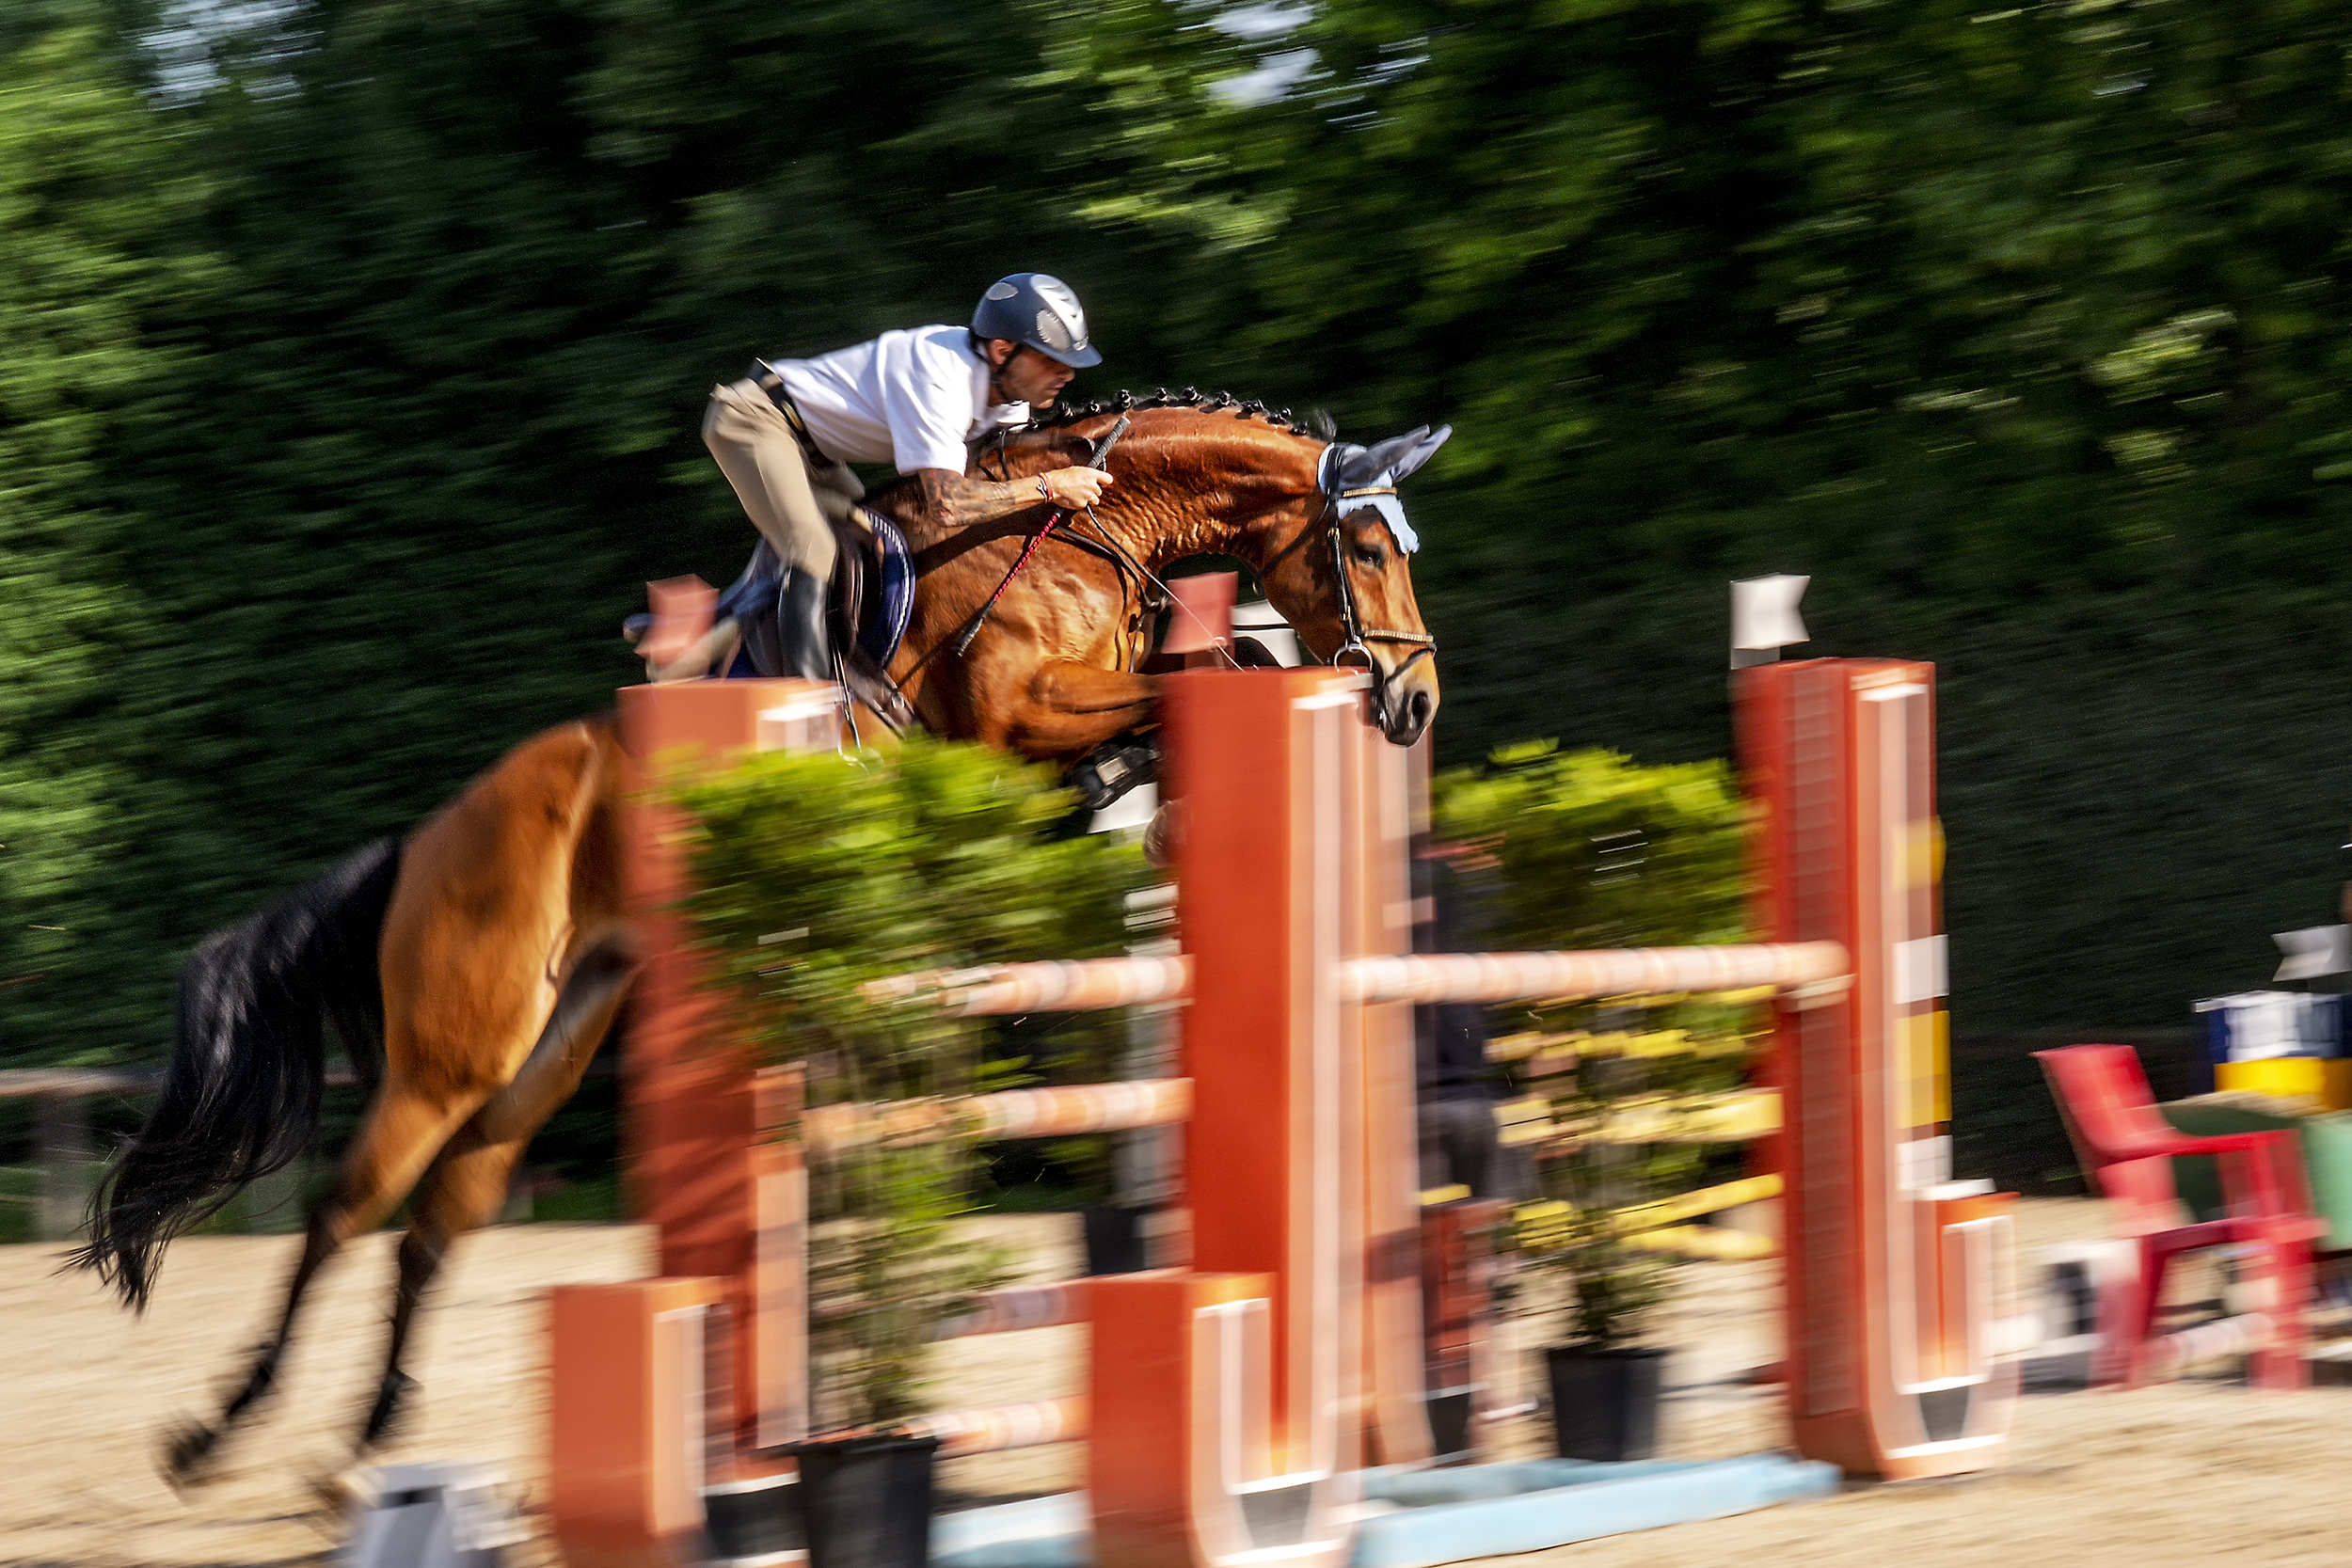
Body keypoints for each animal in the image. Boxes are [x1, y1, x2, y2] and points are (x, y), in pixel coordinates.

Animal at [73, 392, 1439, 1485]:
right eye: (1368, 545)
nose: (1415, 700)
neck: (1090, 533)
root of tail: (427, 837)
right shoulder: (1013, 710)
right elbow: (1177, 684)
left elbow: (1198, 677)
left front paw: (1134, 791)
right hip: (456, 1049)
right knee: (344, 1212)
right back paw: (215, 1434)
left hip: (551, 1045)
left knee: (436, 1220)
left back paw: (364, 1445)